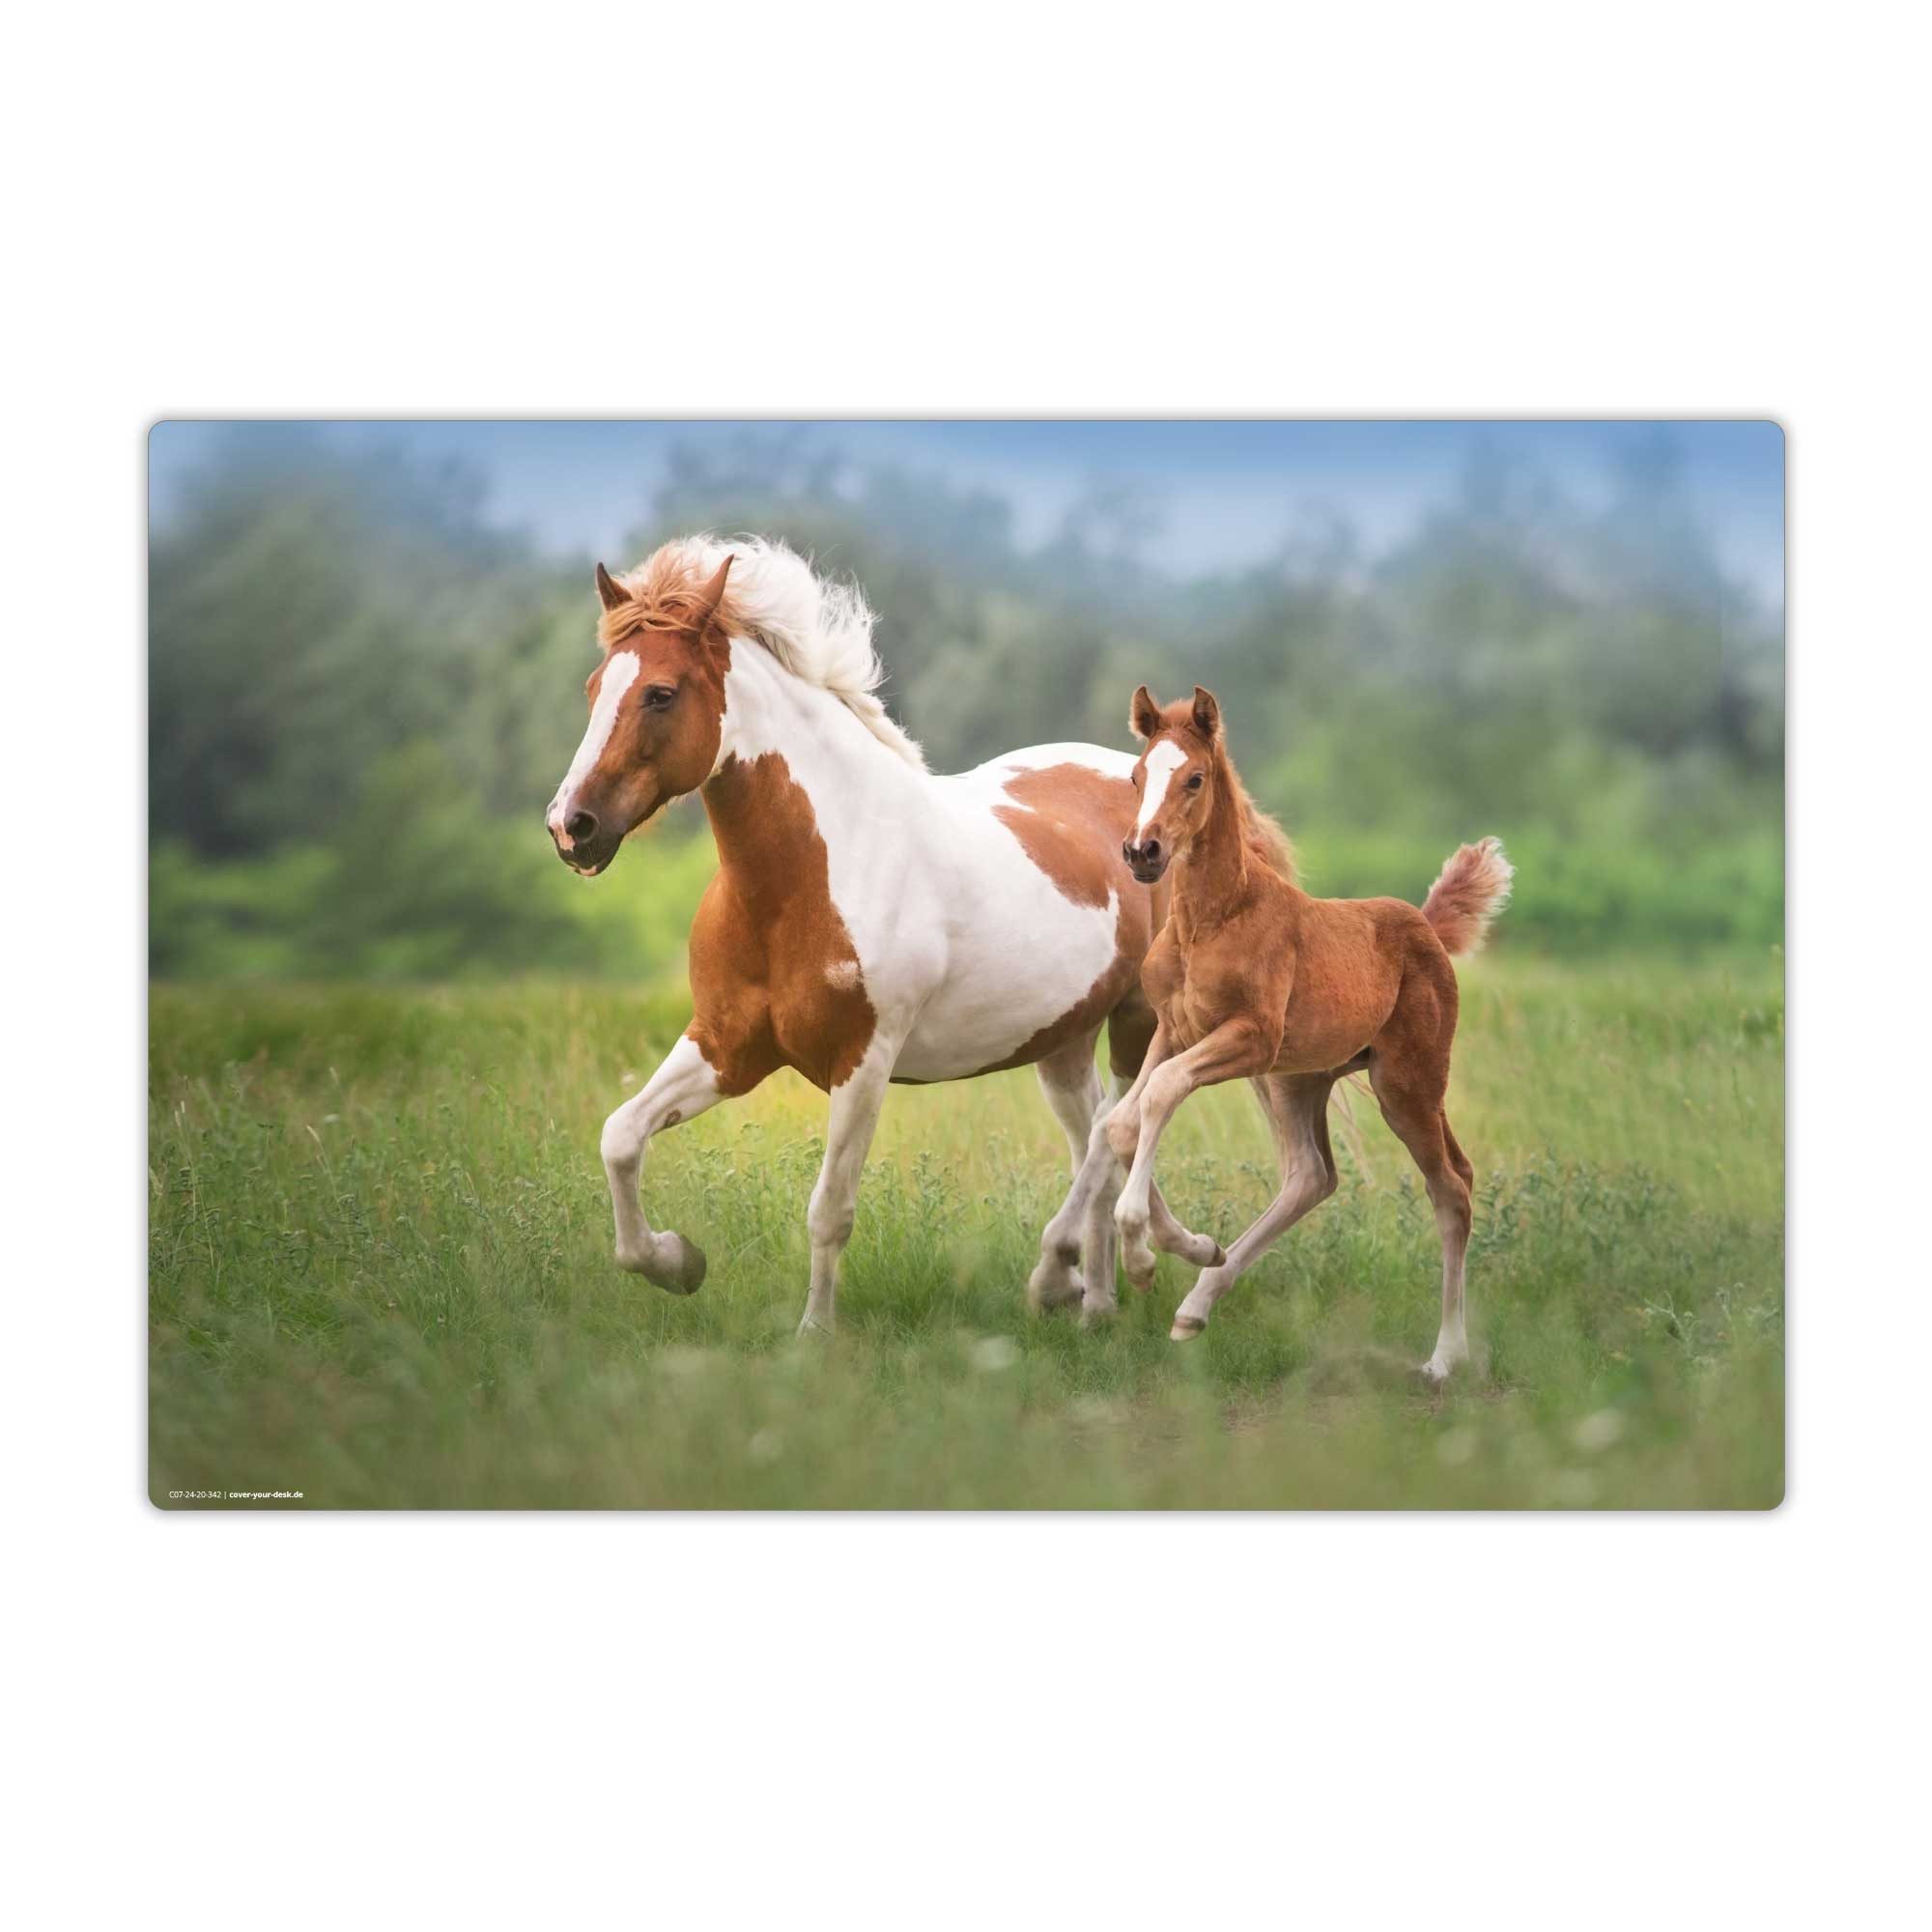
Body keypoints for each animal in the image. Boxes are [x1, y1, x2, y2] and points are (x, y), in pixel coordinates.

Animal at [544, 536, 1222, 1336]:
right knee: (1098, 1133)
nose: (571, 826)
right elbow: (620, 1138)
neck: (808, 878)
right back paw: (1103, 1297)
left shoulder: (862, 1063)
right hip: (1062, 1040)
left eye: (660, 693)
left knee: (1115, 1131)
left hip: (1137, 1022)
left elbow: (829, 1211)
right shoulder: (725, 1047)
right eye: (594, 687)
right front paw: (678, 1261)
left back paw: (1076, 1273)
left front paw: (813, 1335)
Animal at [1103, 682, 1513, 1378]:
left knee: (1452, 1187)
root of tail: (1426, 927)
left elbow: (1159, 1094)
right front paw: (1188, 1246)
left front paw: (1140, 1251)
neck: (1210, 920)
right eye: (1136, 776)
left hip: (1406, 1084)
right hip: (1299, 1079)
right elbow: (1122, 1122)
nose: (1142, 852)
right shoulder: (1175, 1029)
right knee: (1311, 1176)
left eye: (1194, 778)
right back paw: (1198, 1304)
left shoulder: (1250, 1035)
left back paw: (1443, 1357)